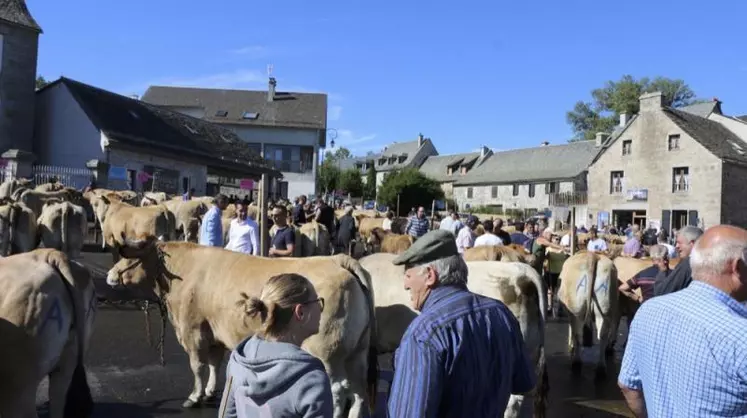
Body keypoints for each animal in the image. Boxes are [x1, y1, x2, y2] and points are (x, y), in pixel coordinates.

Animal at [107, 238, 376, 418]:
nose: (110, 275)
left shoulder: (192, 330)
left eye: (129, 258)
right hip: (357, 353)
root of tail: (337, 259)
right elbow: (214, 364)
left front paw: (195, 396)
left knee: (338, 390)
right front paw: (209, 391)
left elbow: (197, 366)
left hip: (327, 355)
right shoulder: (213, 331)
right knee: (358, 390)